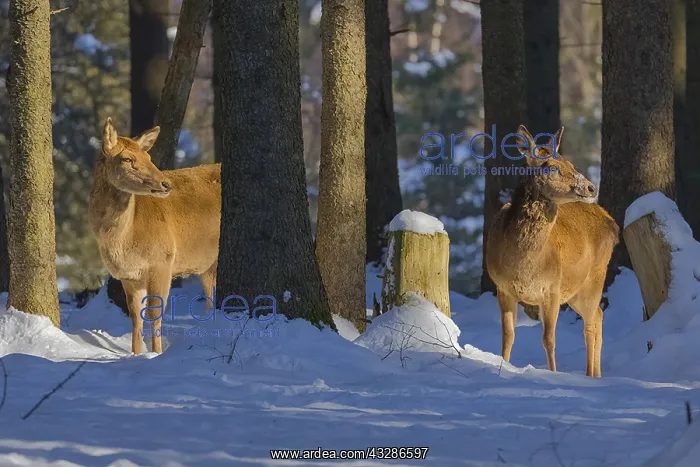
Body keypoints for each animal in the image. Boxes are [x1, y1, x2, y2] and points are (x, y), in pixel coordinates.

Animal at [88, 117, 221, 355]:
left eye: (148, 157)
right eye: (127, 159)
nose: (166, 184)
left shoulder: (162, 262)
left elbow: (155, 314)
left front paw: (156, 354)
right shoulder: (129, 275)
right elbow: (135, 317)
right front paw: (135, 354)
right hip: (207, 265)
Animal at [485, 125, 619, 378]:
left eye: (571, 164)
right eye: (553, 166)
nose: (591, 187)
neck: (524, 266)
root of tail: (612, 223)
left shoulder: (552, 289)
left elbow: (549, 339)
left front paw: (553, 374)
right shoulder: (503, 288)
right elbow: (508, 335)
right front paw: (502, 367)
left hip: (595, 277)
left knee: (591, 321)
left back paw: (590, 375)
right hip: (577, 290)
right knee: (598, 314)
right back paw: (596, 373)